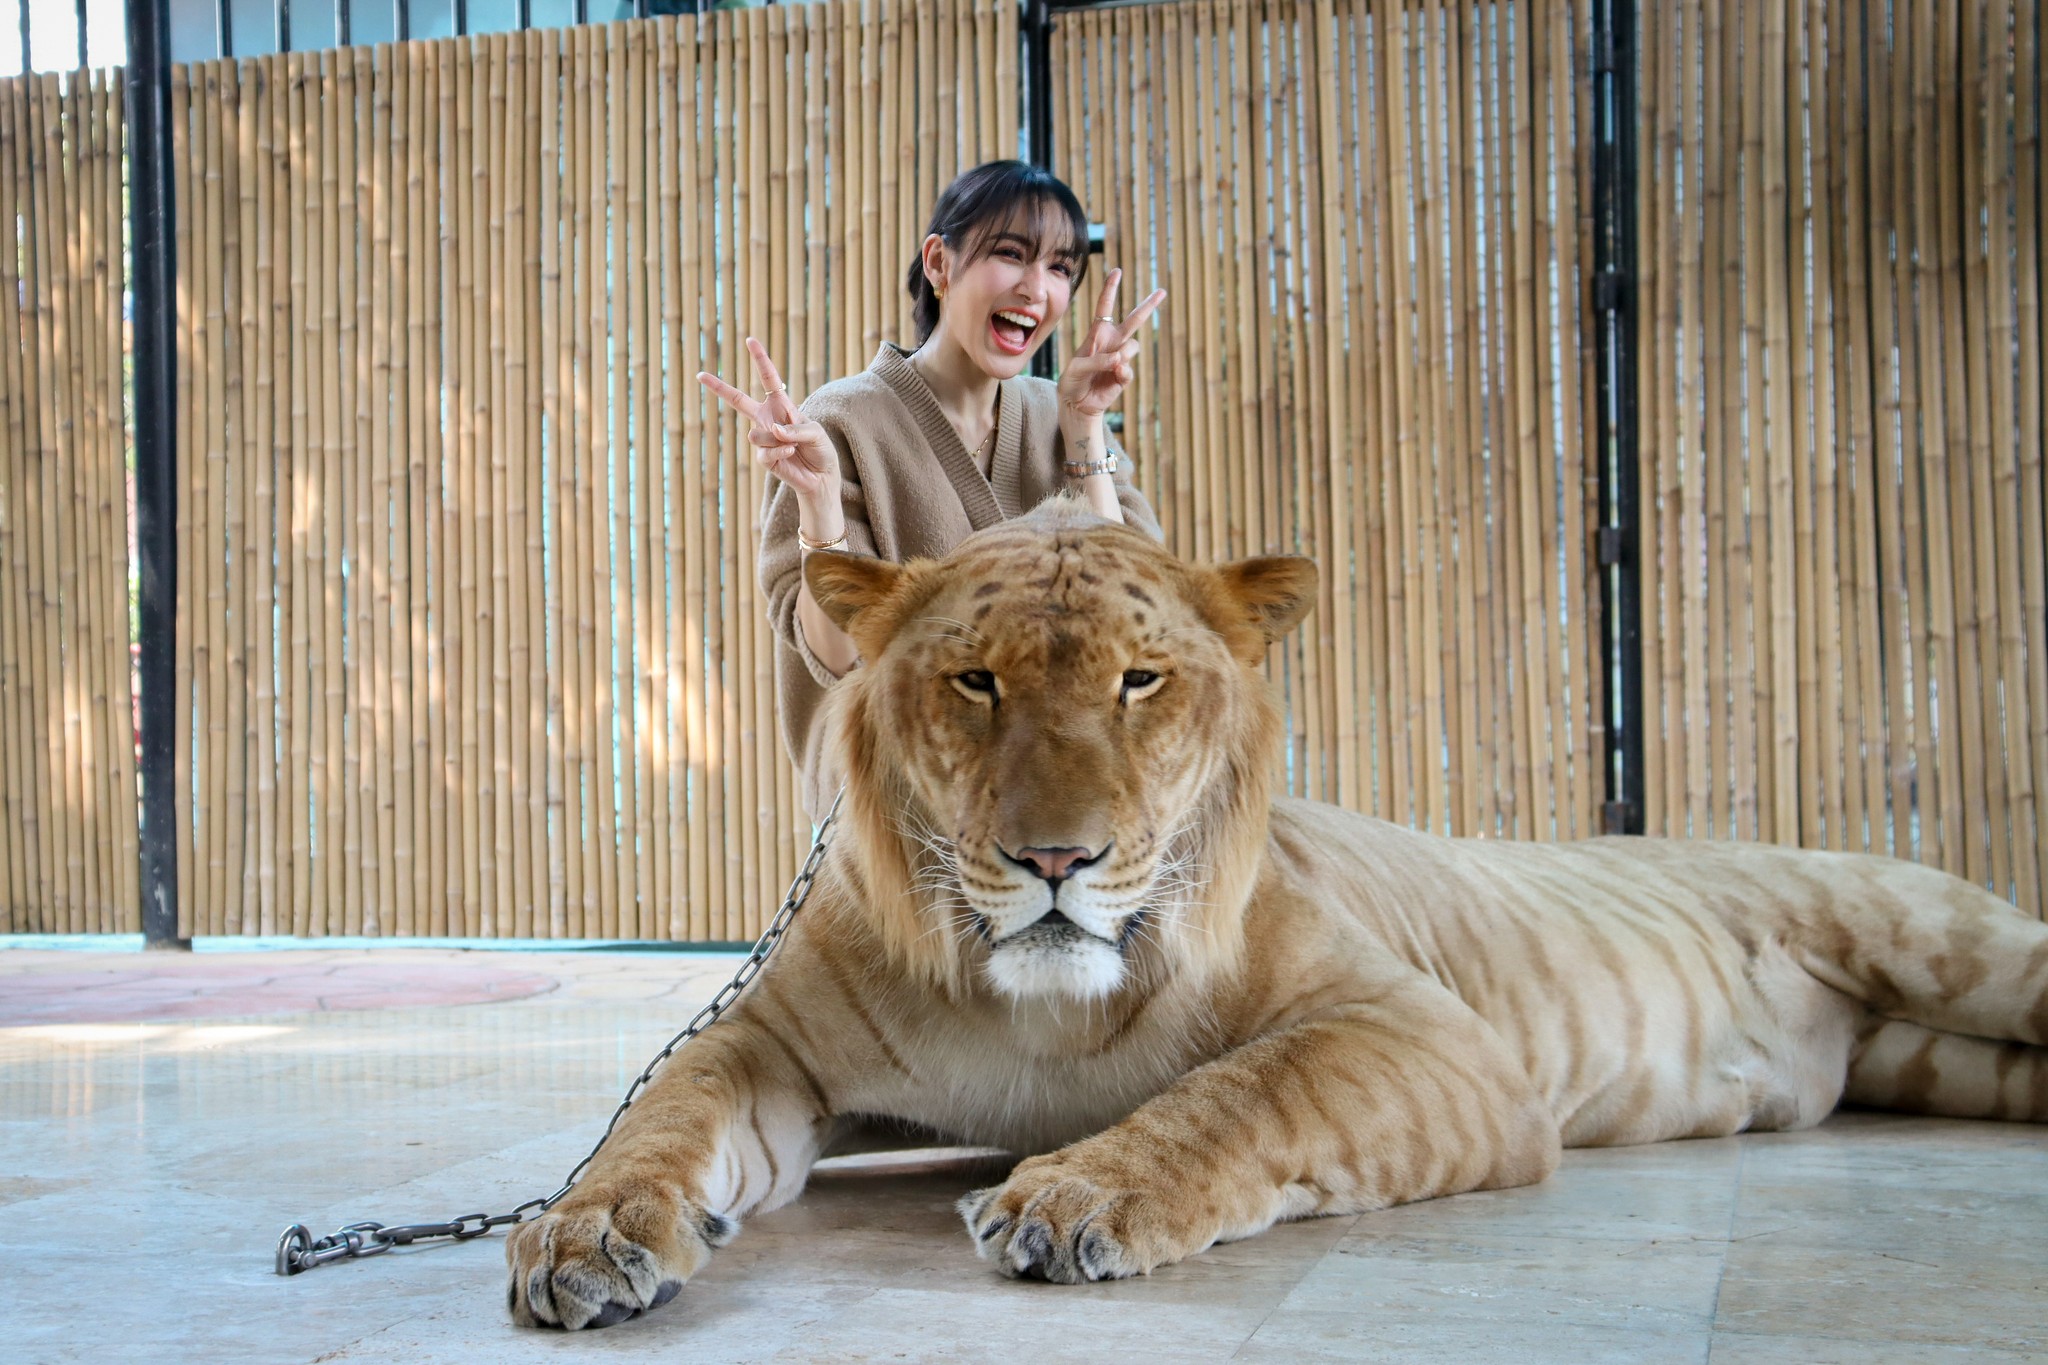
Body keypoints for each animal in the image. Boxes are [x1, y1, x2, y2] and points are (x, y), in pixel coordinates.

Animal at [507, 498, 2048, 1329]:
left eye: (1138, 681)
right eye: (975, 683)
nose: (1055, 858)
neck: (1037, 1012)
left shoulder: (1423, 1034)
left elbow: (1242, 1092)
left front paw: (1077, 1193)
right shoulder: (762, 1043)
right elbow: (661, 1117)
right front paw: (589, 1233)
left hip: (1955, 950)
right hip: (1935, 1062)